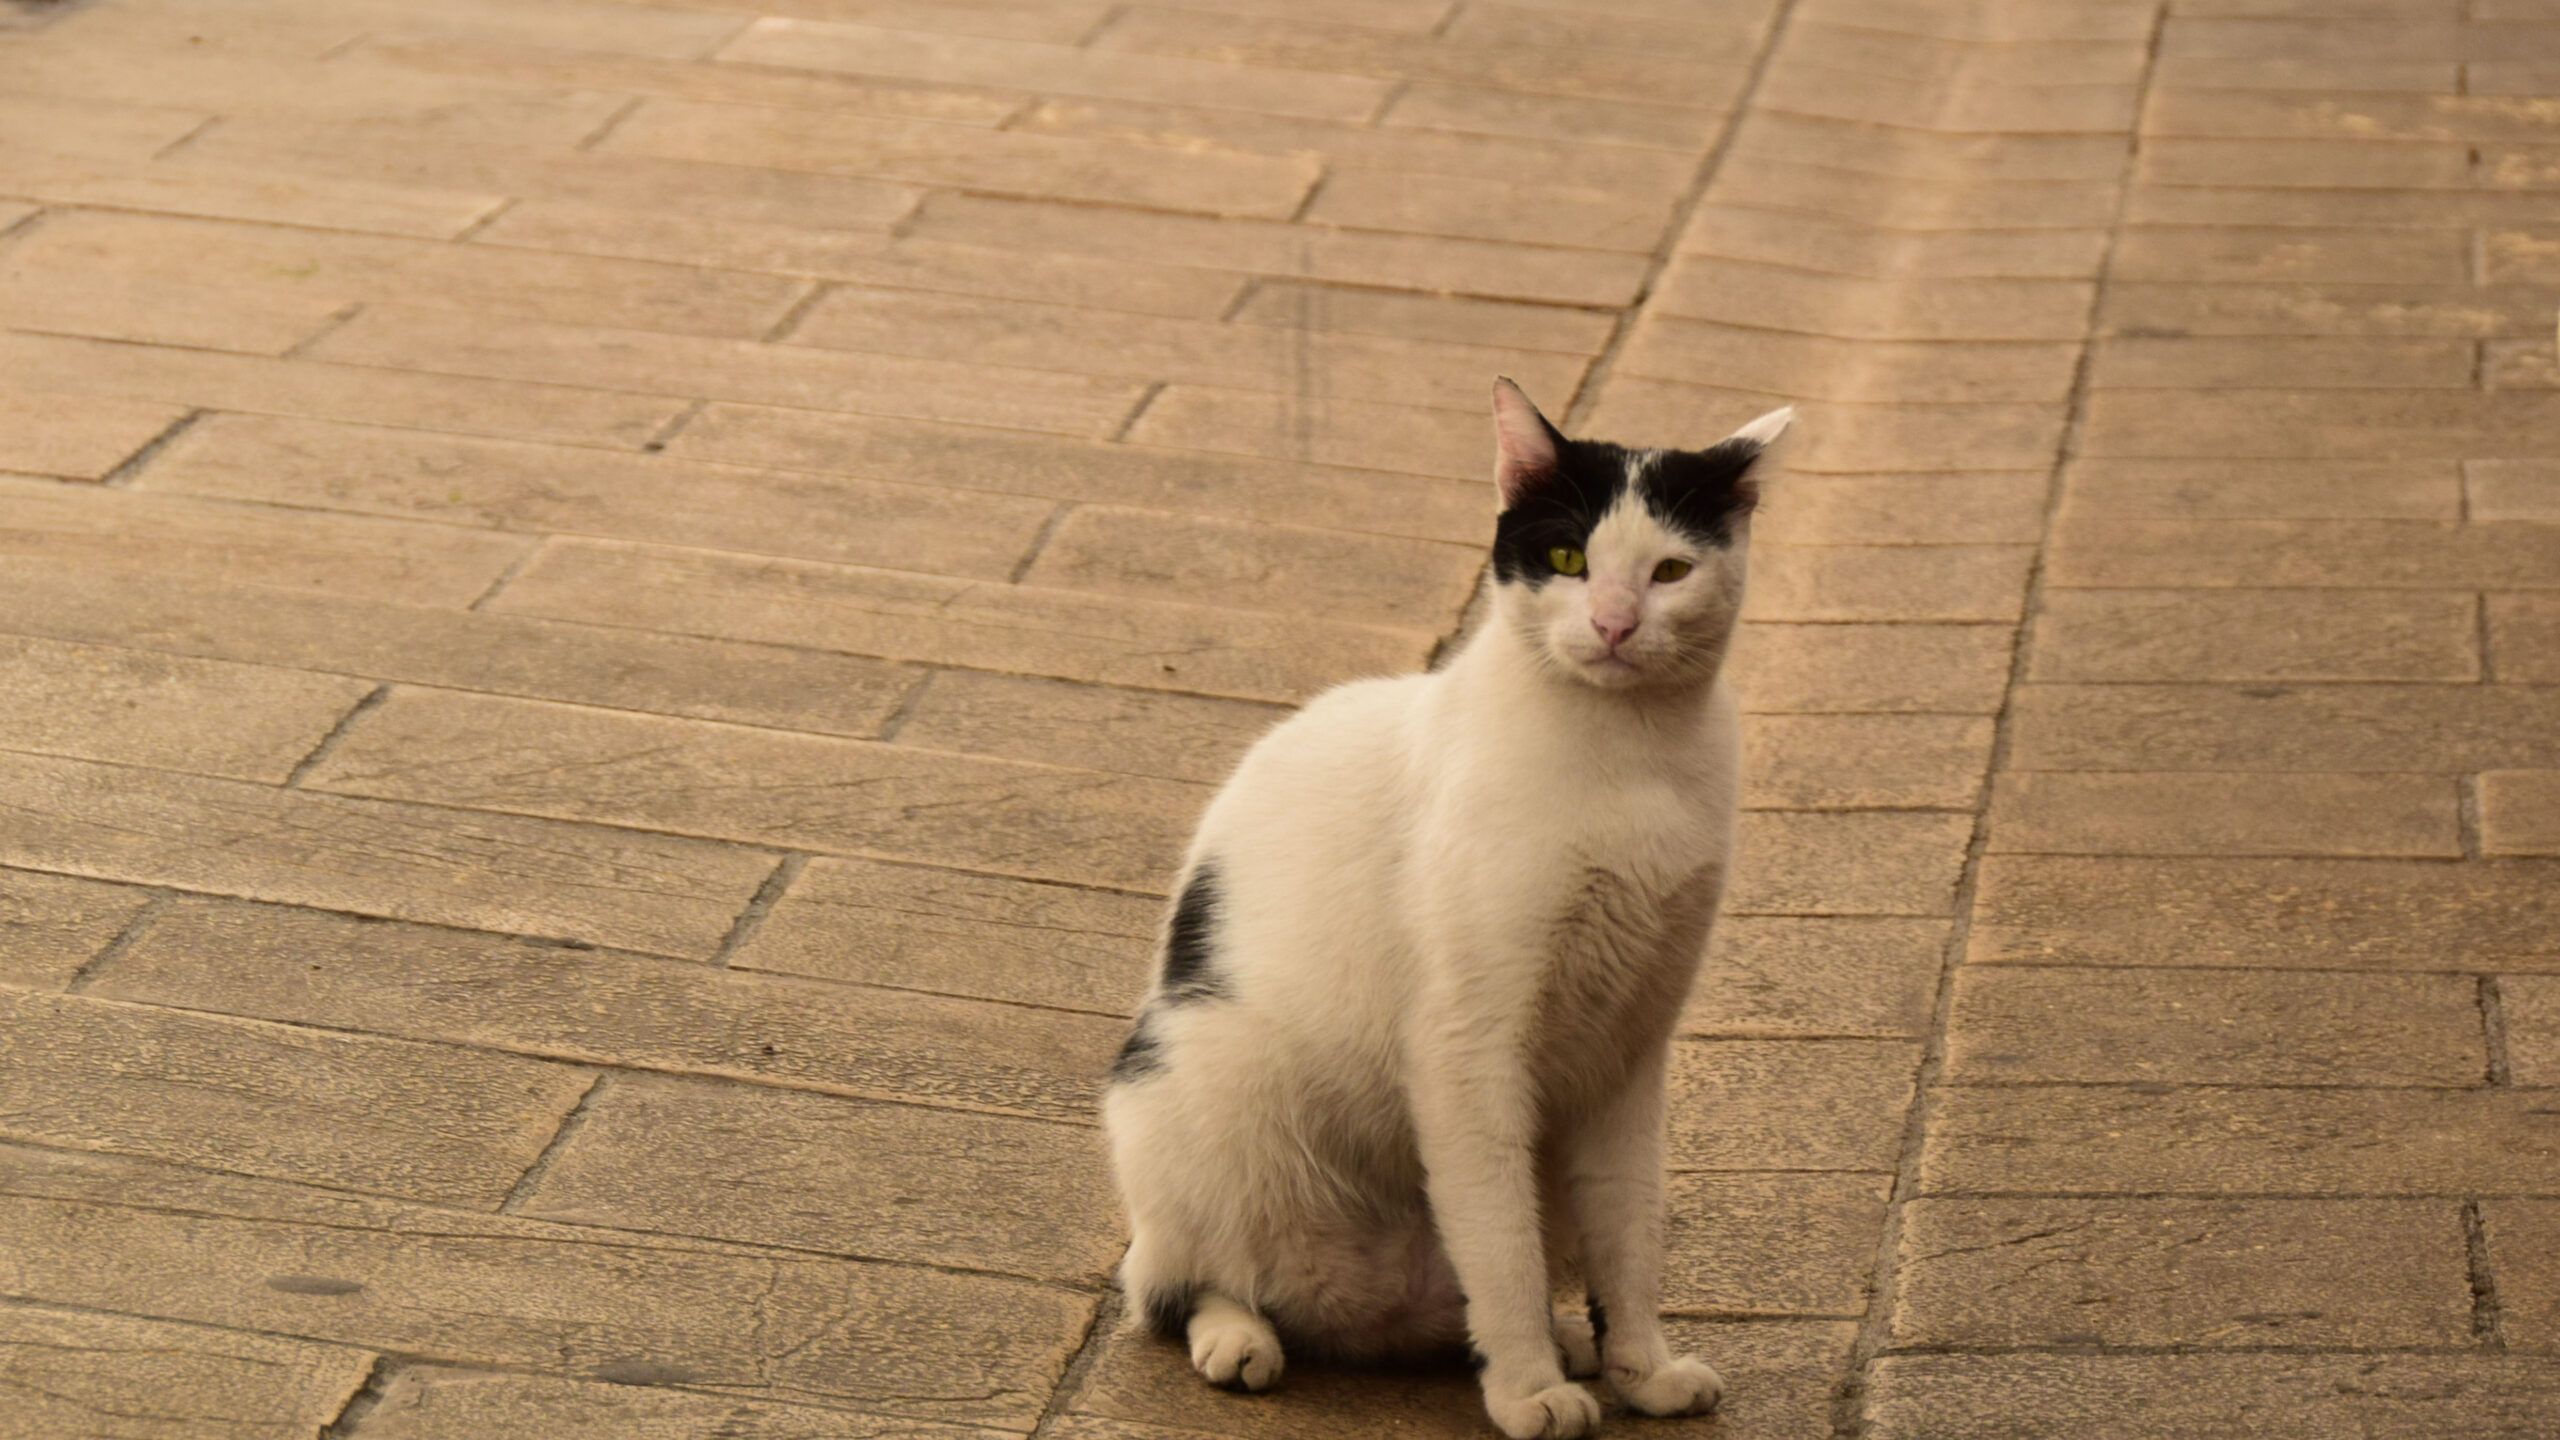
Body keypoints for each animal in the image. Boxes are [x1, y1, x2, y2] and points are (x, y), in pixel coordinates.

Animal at [1105, 379, 1802, 1434]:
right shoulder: (1469, 1043)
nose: (1613, 624)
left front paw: (1640, 1368)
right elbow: (1503, 1242)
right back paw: (1243, 1338)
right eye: (1569, 559)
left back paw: (1558, 1341)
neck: (1631, 760)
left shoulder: (1633, 1048)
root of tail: (1369, 1315)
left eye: (1671, 570)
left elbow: (1628, 1226)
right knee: (1178, 1278)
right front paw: (1528, 1394)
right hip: (1192, 1084)